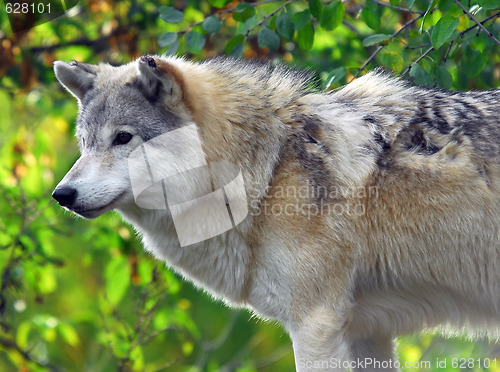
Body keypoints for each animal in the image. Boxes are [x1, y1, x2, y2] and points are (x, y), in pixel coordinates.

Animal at [52, 56, 498, 372]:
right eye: (84, 143)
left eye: (123, 138)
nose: (61, 194)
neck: (268, 173)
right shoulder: (367, 330)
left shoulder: (315, 324)